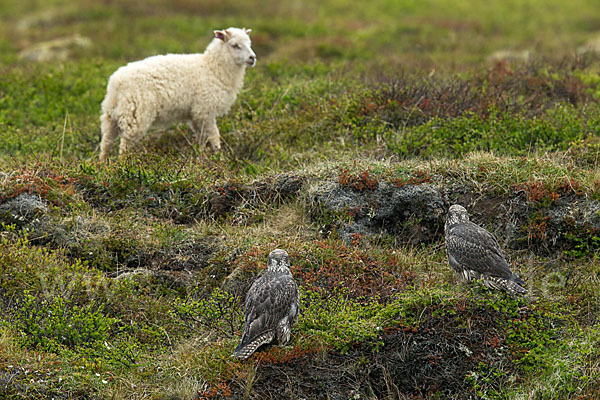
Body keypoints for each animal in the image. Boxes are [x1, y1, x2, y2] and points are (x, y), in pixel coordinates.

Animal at [98, 26, 255, 162]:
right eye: (235, 45)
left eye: (249, 43)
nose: (252, 57)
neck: (213, 67)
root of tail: (116, 83)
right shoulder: (205, 110)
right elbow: (214, 136)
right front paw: (220, 159)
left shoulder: (196, 114)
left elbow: (201, 138)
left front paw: (201, 157)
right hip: (136, 114)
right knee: (125, 143)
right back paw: (122, 165)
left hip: (111, 115)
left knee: (106, 142)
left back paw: (103, 166)